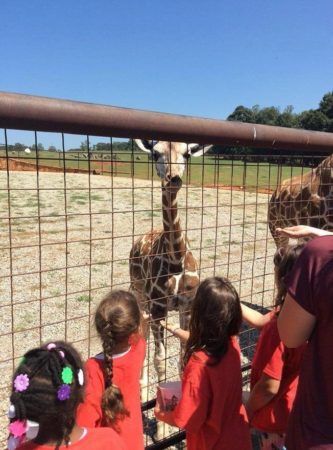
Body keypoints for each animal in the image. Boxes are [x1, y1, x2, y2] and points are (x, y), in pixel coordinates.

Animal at [127, 140, 210, 394]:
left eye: (188, 154)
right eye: (155, 154)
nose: (173, 179)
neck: (176, 258)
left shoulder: (187, 305)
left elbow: (184, 356)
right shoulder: (158, 308)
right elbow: (160, 360)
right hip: (139, 293)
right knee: (141, 333)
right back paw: (142, 387)